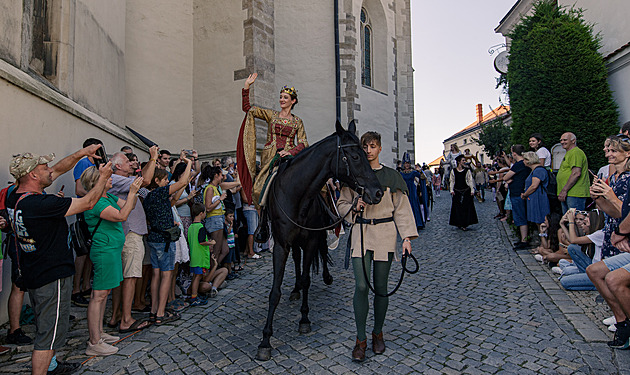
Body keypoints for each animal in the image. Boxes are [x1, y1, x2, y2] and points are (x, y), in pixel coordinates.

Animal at [256, 120, 386, 362]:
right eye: (355, 156)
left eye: (367, 153)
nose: (378, 192)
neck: (296, 194)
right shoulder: (281, 245)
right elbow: (275, 291)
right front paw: (265, 340)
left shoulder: (311, 239)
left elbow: (308, 278)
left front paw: (304, 319)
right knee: (297, 259)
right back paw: (295, 289)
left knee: (320, 253)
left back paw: (323, 277)